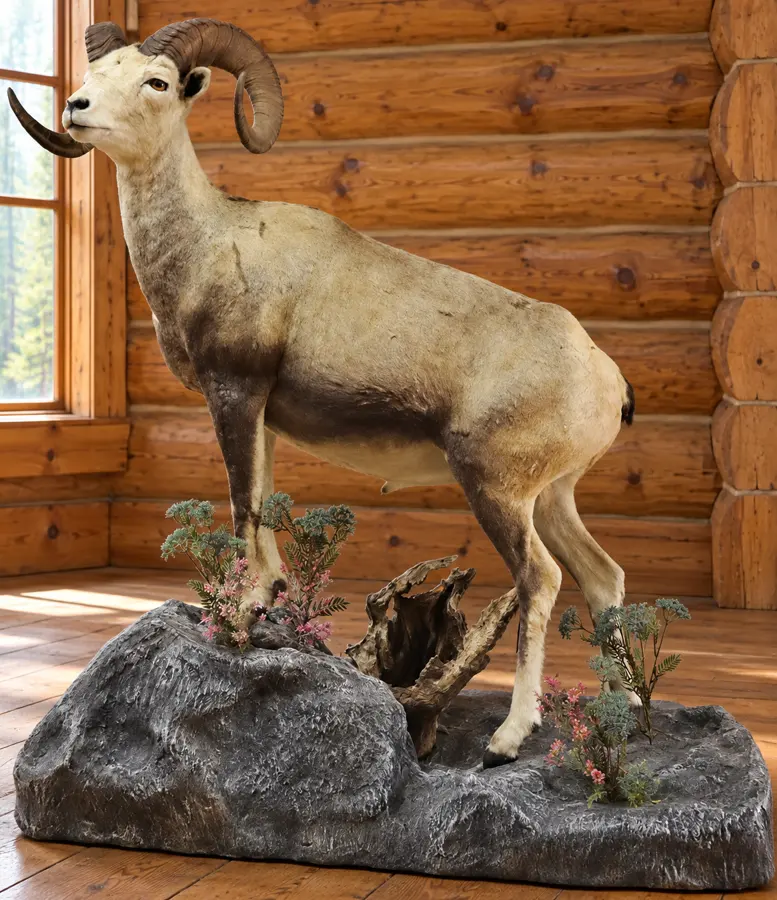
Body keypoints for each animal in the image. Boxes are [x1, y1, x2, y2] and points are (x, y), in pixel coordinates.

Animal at [8, 18, 637, 766]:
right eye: (96, 76)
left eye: (156, 81)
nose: (77, 108)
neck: (209, 245)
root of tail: (605, 378)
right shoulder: (263, 419)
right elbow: (264, 510)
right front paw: (264, 603)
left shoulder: (235, 395)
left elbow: (243, 509)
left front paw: (238, 617)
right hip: (553, 500)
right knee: (602, 578)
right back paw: (627, 710)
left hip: (498, 493)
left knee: (540, 581)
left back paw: (509, 739)